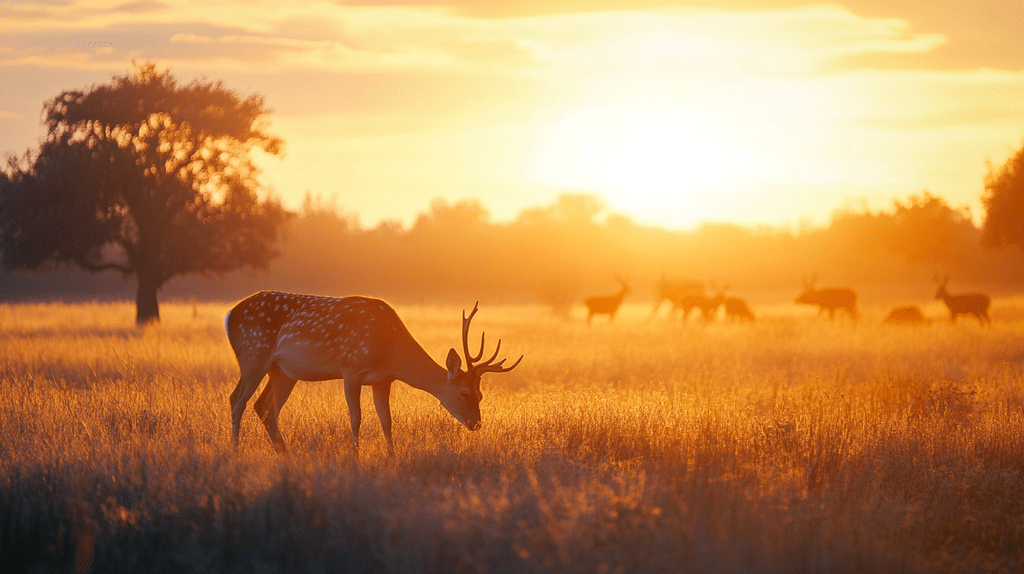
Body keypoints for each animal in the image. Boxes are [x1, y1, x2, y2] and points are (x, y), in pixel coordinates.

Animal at [225, 291, 522, 456]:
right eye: (464, 392)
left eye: (481, 394)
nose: (476, 424)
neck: (389, 351)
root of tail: (229, 315)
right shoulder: (350, 367)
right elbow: (356, 418)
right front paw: (354, 460)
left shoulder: (382, 381)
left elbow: (386, 421)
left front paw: (392, 459)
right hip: (253, 354)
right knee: (237, 399)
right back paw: (236, 454)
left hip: (284, 371)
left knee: (264, 407)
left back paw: (287, 457)